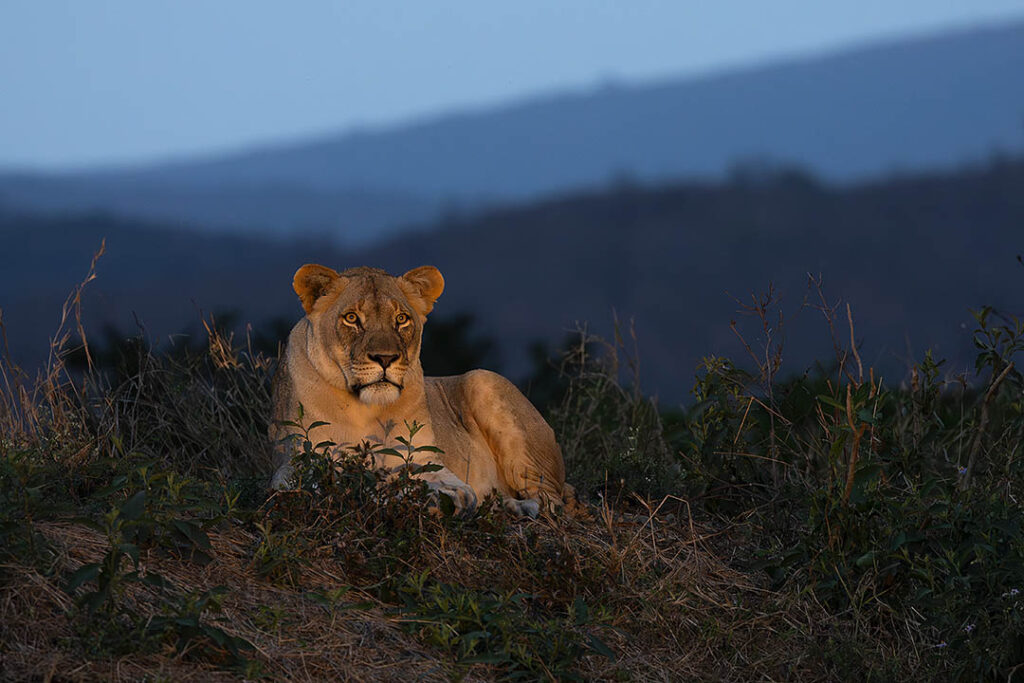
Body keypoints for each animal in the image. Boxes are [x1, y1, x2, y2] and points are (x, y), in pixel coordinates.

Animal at [268, 263, 570, 517]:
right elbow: (321, 483)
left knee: (554, 501)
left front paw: (448, 496)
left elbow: (433, 477)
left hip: (482, 380)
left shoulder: (426, 457)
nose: (385, 358)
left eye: (401, 318)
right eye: (352, 318)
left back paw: (516, 507)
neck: (363, 409)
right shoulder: (295, 463)